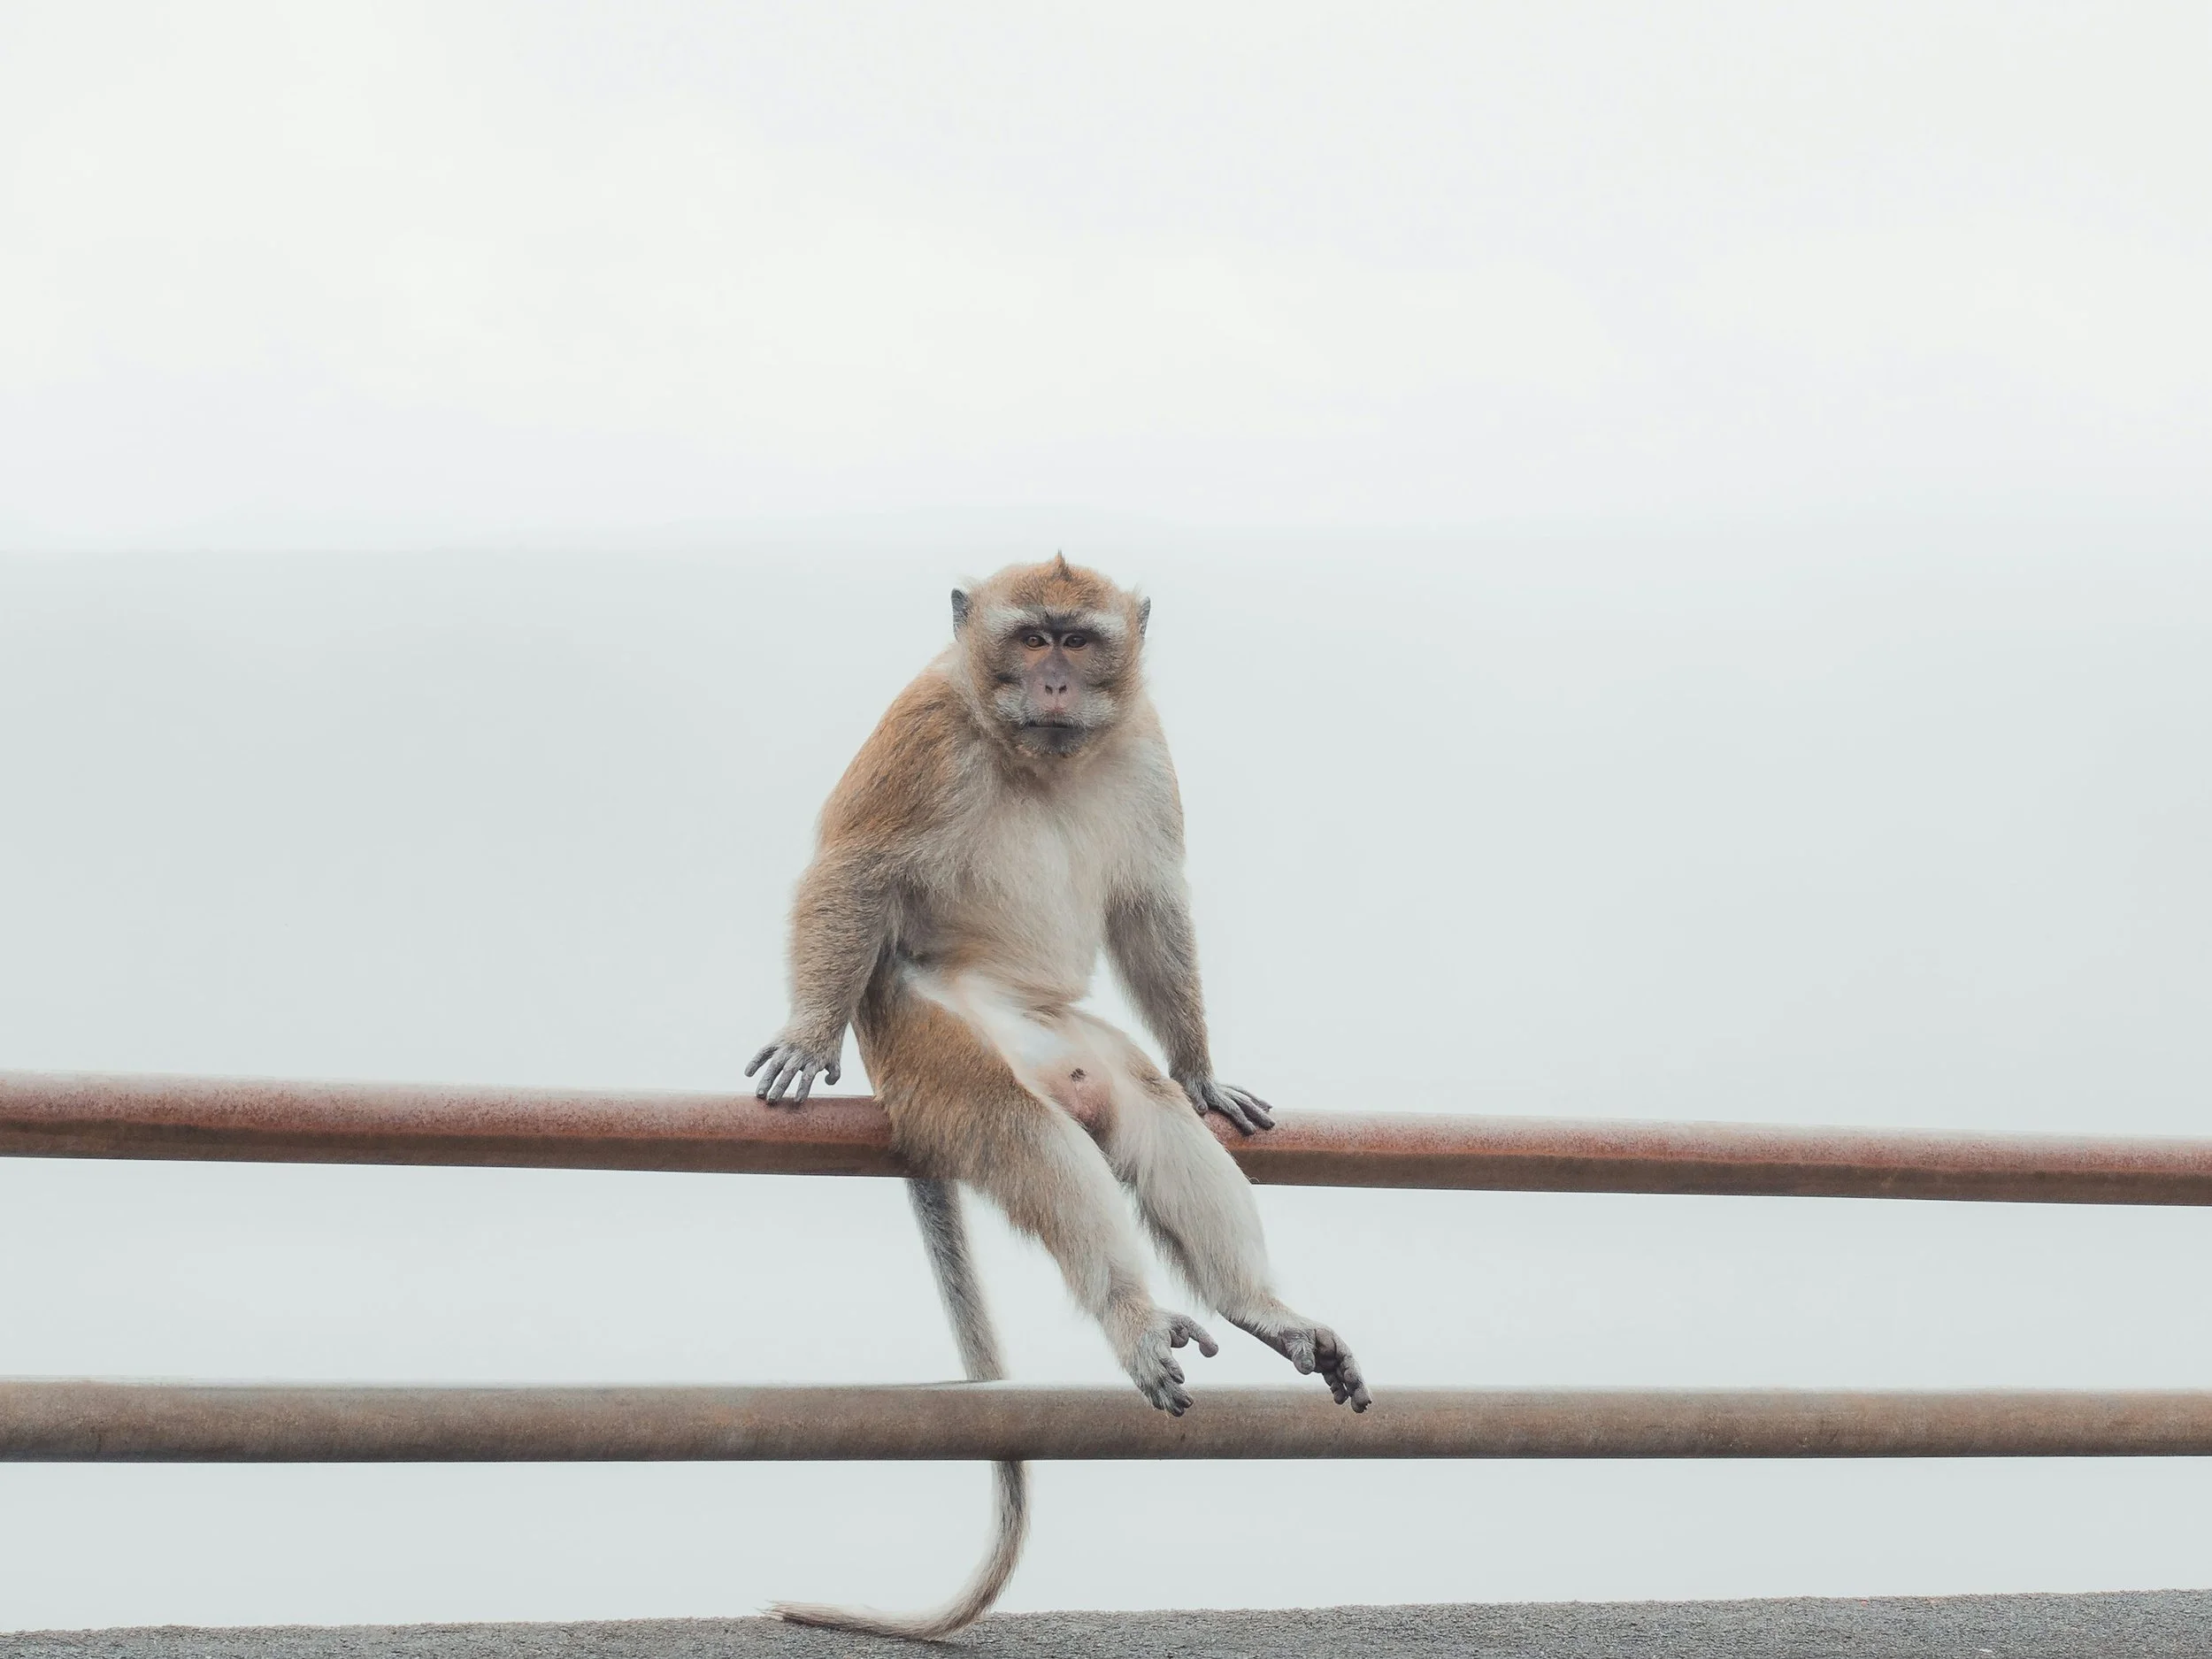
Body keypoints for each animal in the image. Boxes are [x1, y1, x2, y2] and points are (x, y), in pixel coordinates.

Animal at [750, 555, 1367, 1639]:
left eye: (1079, 642)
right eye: (1031, 637)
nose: (1051, 683)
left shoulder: (1145, 745)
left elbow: (1151, 901)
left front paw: (1203, 1067)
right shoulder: (924, 728)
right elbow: (855, 868)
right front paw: (804, 1034)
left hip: (1069, 1036)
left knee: (1146, 1106)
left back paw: (1258, 1305)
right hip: (924, 1039)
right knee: (1018, 1127)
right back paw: (1133, 1312)